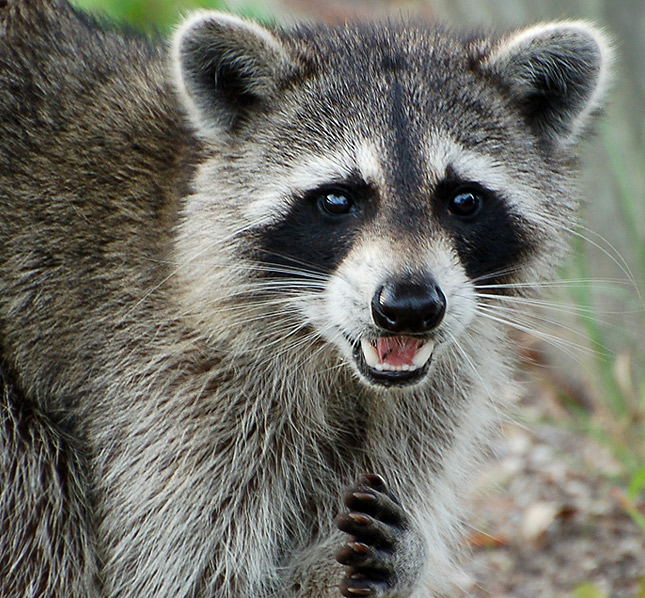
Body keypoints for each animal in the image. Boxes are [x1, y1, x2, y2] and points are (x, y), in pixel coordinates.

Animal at [0, 1, 612, 598]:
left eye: (464, 200)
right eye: (338, 199)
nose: (410, 307)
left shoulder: (426, 405)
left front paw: (386, 566)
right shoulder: (169, 386)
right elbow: (188, 576)